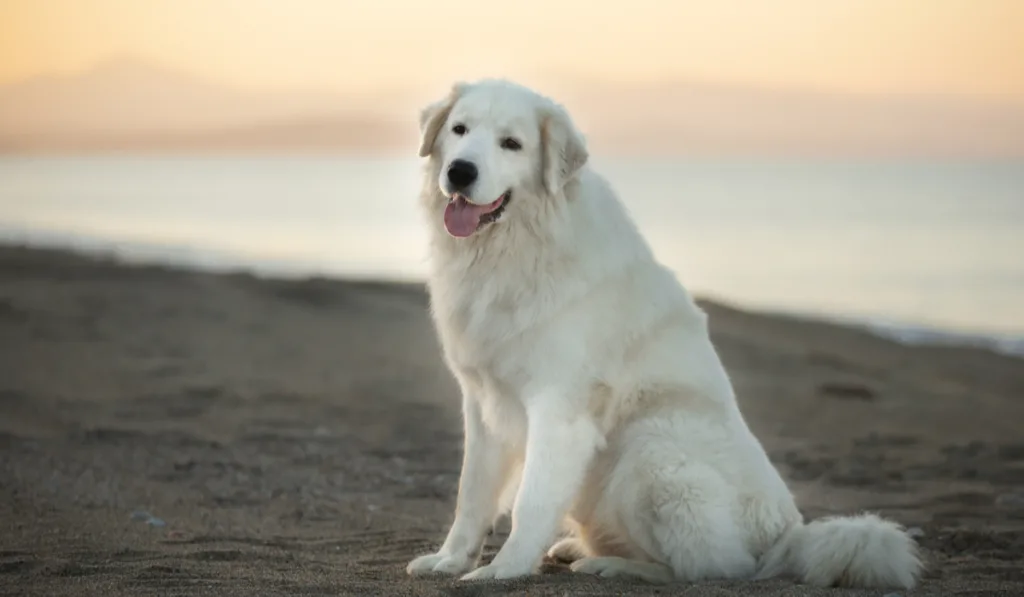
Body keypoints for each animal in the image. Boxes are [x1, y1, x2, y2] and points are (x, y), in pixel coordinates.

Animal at [403, 78, 925, 589]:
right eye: (459, 129)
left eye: (511, 143)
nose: (460, 172)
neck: (512, 248)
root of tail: (787, 534)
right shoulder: (483, 401)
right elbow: (471, 495)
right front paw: (450, 560)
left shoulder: (560, 409)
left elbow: (531, 502)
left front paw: (505, 569)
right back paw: (581, 549)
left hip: (649, 448)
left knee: (706, 566)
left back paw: (610, 565)